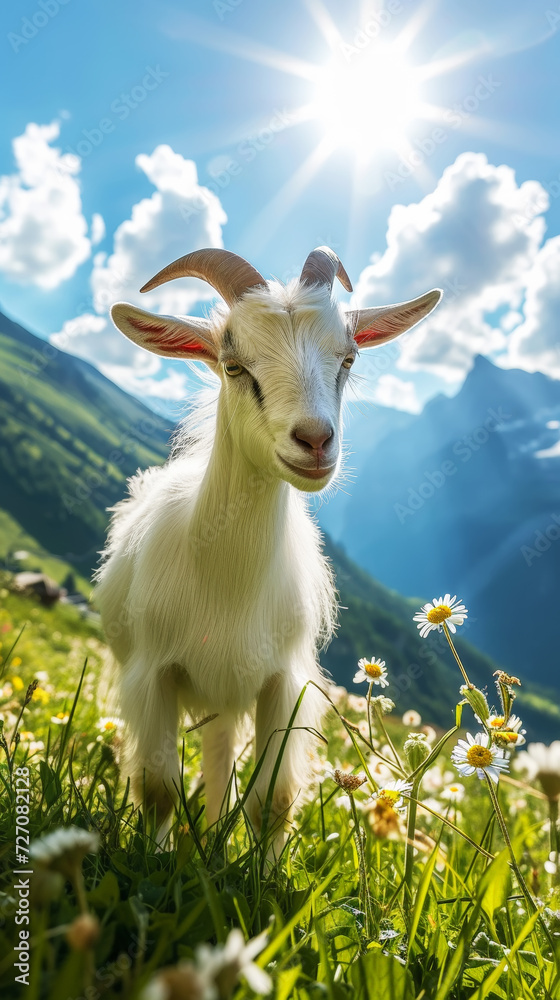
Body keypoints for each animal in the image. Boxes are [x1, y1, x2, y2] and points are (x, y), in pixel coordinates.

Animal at [94, 246, 441, 851]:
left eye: (348, 359)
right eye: (234, 365)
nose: (315, 441)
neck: (226, 584)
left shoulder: (284, 682)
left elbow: (272, 799)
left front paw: (264, 872)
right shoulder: (151, 675)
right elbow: (158, 789)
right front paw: (154, 861)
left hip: (229, 696)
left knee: (220, 764)